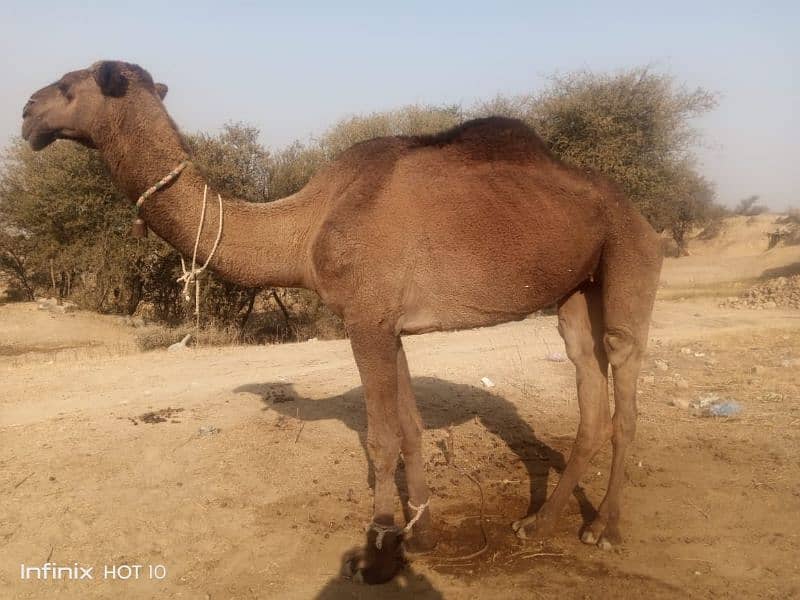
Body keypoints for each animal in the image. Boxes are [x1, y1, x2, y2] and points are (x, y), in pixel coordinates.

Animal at [23, 59, 664, 580]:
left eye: (69, 85)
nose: (28, 113)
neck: (304, 228)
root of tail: (638, 211)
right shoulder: (386, 324)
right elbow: (409, 429)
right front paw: (420, 537)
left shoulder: (367, 321)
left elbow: (381, 438)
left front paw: (376, 554)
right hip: (576, 287)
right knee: (586, 375)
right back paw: (538, 524)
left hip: (629, 252)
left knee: (624, 376)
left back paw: (604, 530)